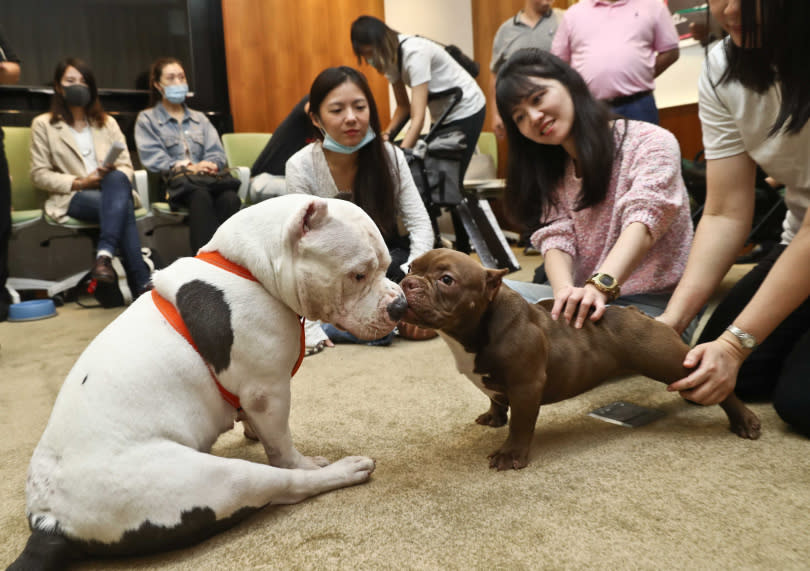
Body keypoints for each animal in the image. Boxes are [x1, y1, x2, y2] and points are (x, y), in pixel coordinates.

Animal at [10, 196, 408, 568]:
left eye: (386, 264)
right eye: (358, 275)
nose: (400, 306)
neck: (250, 269)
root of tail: (50, 522)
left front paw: (250, 430)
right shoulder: (268, 392)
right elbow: (282, 447)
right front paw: (298, 458)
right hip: (222, 481)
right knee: (288, 485)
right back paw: (342, 469)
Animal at [400, 249, 760, 470]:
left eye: (446, 279)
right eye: (410, 267)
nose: (407, 282)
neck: (476, 328)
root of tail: (639, 314)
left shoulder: (526, 387)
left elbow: (520, 424)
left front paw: (510, 454)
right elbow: (496, 400)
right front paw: (493, 417)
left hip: (669, 361)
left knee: (721, 386)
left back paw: (744, 420)